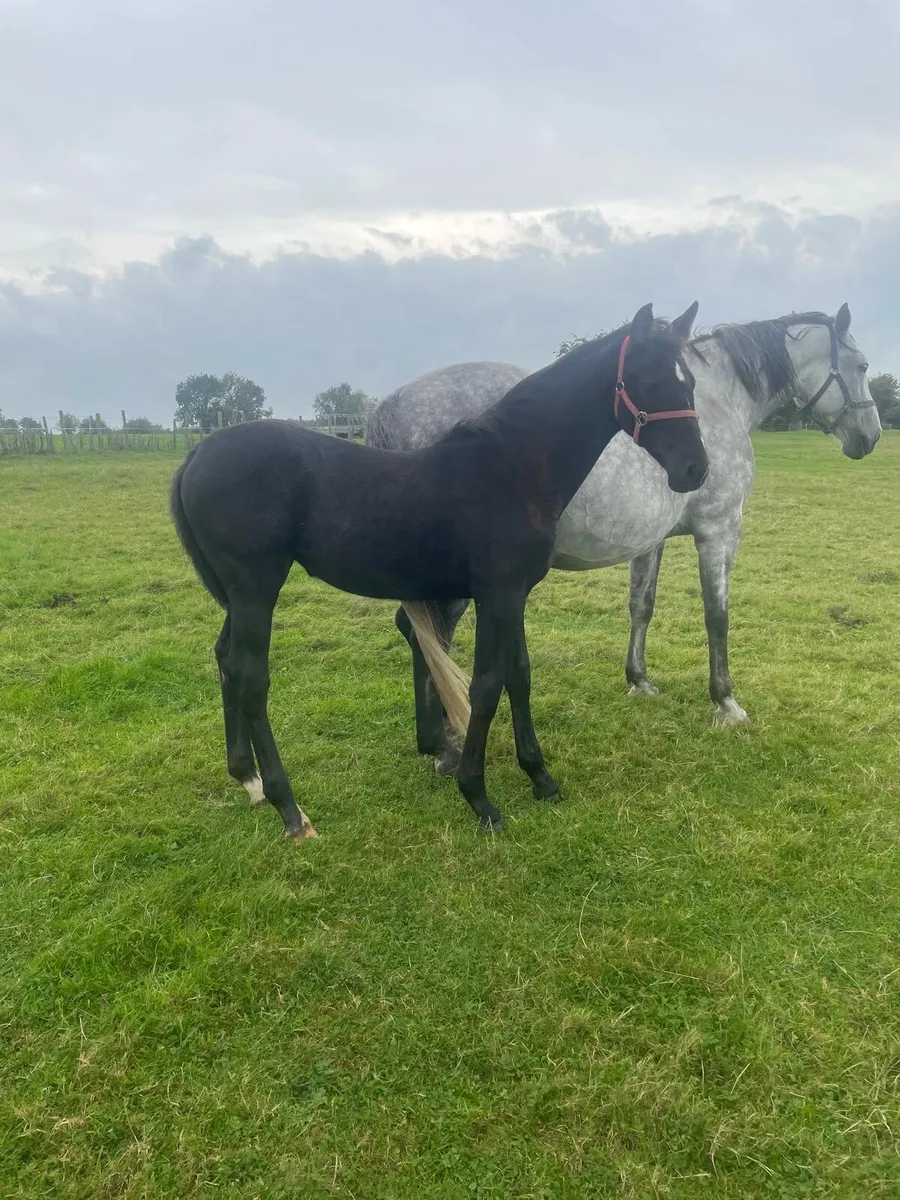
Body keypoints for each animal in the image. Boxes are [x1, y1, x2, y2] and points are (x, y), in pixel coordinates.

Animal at [171, 302, 709, 839]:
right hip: (256, 589)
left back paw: (249, 780)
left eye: (690, 382)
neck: (512, 466)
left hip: (238, 596)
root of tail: (197, 453)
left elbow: (519, 675)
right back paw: (290, 808)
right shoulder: (498, 594)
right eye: (649, 379)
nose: (695, 471)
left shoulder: (513, 596)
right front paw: (480, 798)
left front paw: (540, 778)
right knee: (250, 677)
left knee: (225, 660)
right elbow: (487, 685)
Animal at [366, 304, 881, 764]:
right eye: (861, 366)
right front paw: (726, 703)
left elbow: (641, 606)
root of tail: (389, 406)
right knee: (435, 634)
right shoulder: (719, 530)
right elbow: (717, 616)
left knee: (416, 630)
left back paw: (434, 741)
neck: (719, 400)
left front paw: (639, 681)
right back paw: (447, 744)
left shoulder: (650, 540)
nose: (871, 437)